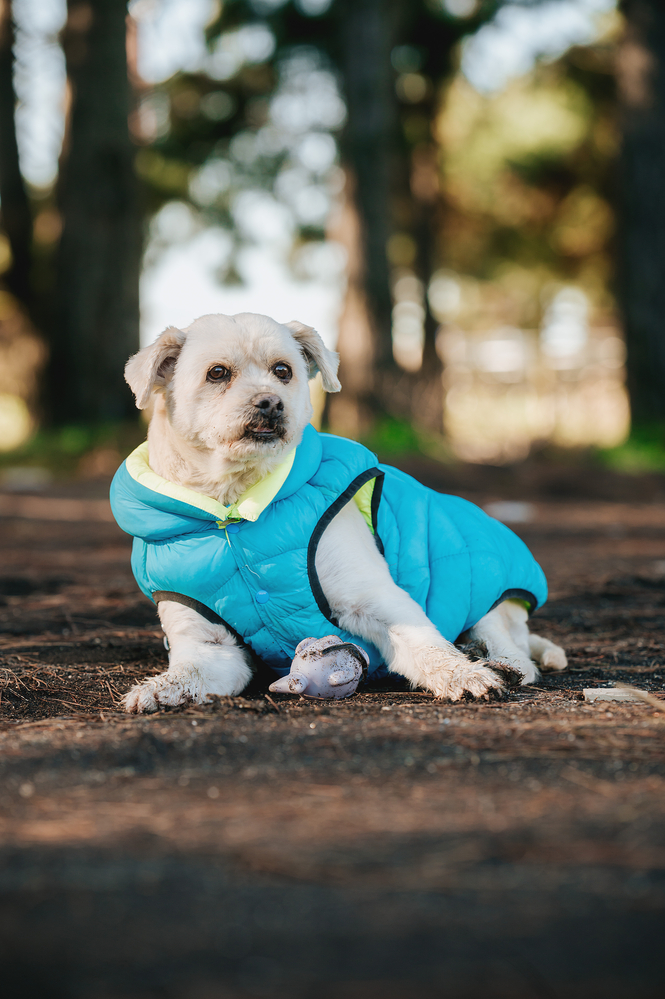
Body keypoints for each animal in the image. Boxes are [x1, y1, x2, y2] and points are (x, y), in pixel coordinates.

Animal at [110, 312, 564, 712]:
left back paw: (499, 663)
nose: (270, 402)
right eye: (217, 373)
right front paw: (159, 689)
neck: (236, 511)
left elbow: (428, 647)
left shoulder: (376, 600)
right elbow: (189, 673)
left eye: (283, 370)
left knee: (512, 647)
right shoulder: (210, 646)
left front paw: (463, 674)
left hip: (489, 597)